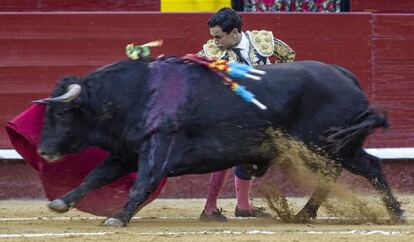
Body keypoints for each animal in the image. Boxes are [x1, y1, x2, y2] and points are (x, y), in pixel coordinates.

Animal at [35, 58, 404, 227]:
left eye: (62, 114)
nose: (43, 150)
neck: (135, 93)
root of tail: (346, 76)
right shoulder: (127, 152)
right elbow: (95, 176)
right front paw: (61, 202)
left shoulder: (158, 145)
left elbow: (141, 184)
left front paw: (118, 217)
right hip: (339, 145)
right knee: (365, 167)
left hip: (328, 144)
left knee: (358, 169)